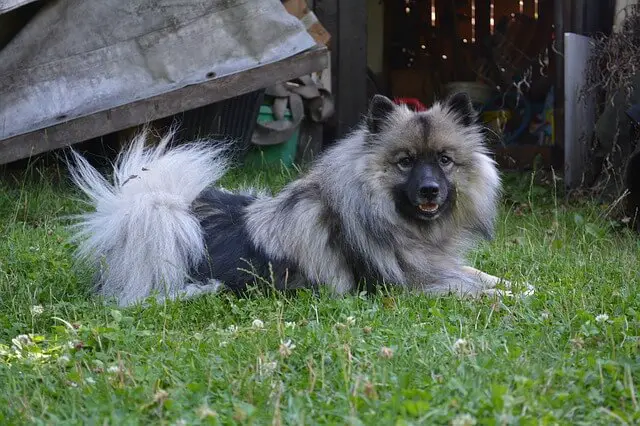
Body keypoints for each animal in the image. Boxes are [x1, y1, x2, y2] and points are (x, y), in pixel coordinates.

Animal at [66, 93, 528, 306]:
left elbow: (480, 275)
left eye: (445, 160)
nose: (430, 189)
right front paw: (512, 298)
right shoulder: (409, 287)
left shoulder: (441, 267)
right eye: (405, 162)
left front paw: (519, 285)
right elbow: (472, 290)